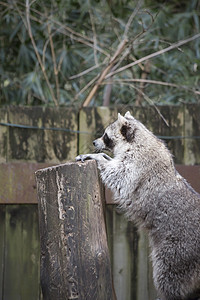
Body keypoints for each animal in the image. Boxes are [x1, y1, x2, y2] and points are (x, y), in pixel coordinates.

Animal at [76, 110, 200, 300]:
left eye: (106, 135)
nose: (94, 142)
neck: (139, 138)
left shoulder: (137, 164)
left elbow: (119, 175)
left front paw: (97, 157)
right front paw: (103, 156)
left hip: (178, 251)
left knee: (168, 276)